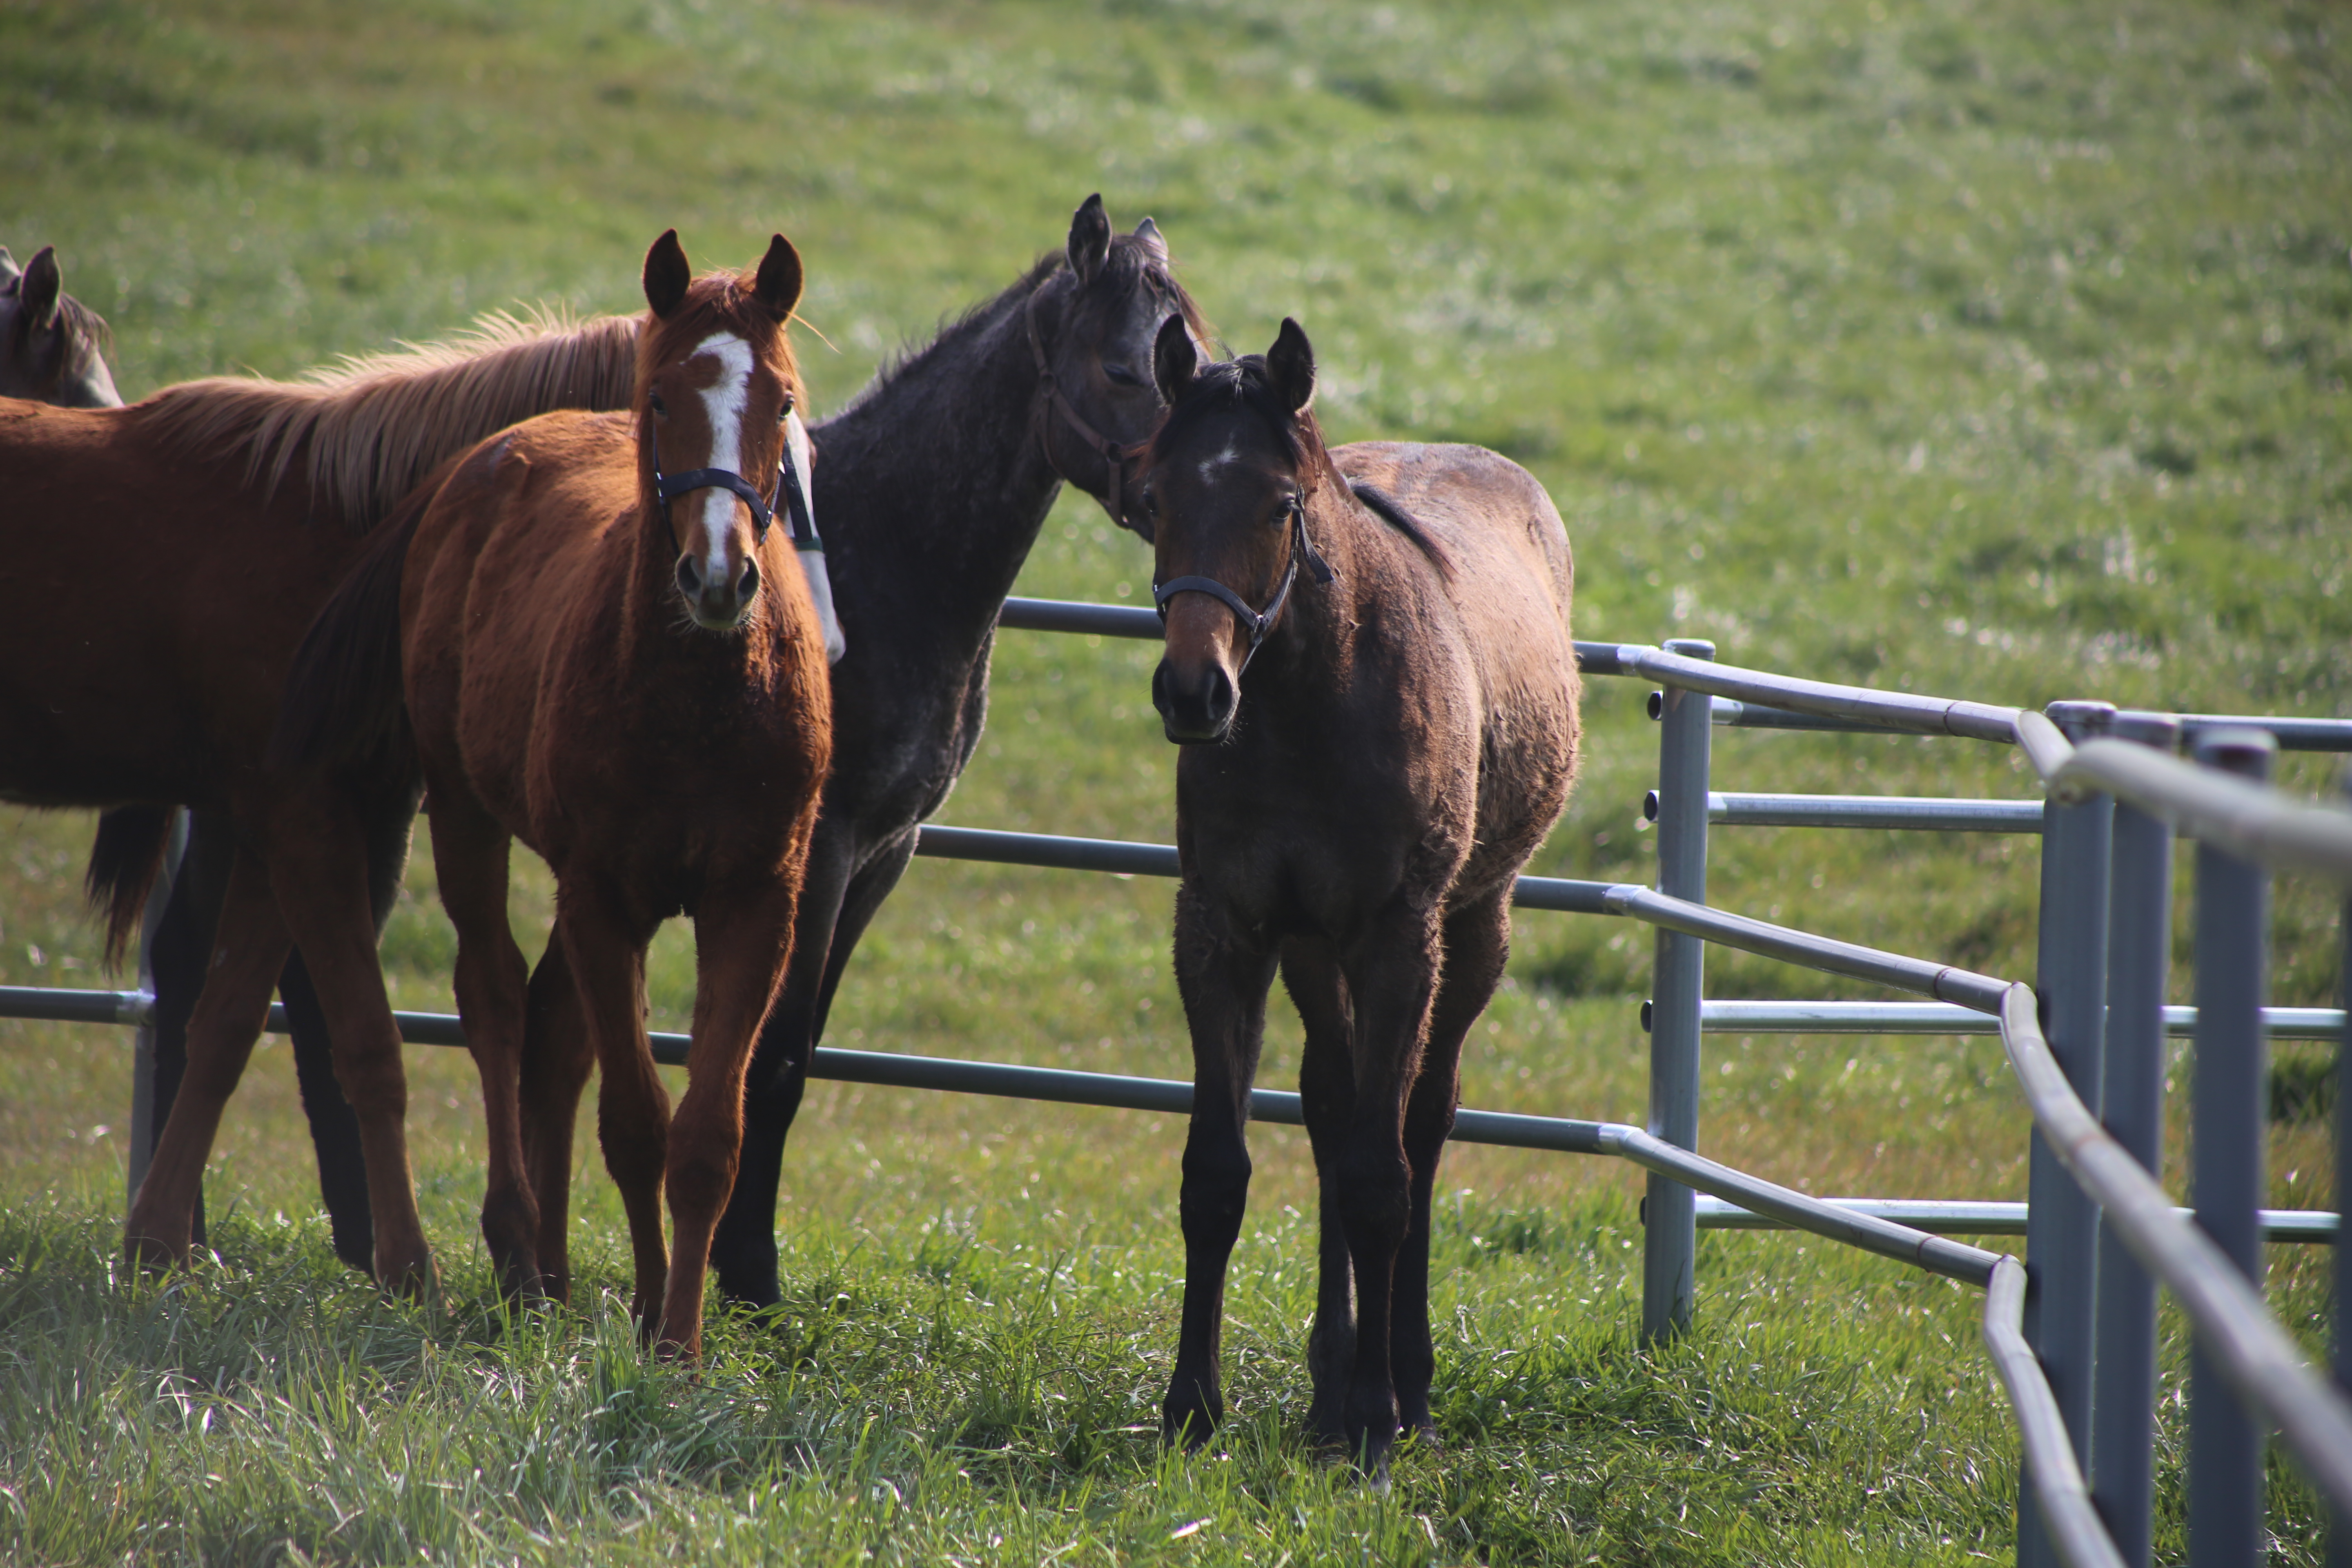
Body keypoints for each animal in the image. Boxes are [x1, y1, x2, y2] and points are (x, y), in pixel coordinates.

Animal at [281, 230, 833, 1354]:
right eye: (660, 396)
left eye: (783, 401)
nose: (720, 577)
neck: (704, 697)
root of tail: (480, 462)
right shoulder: (602, 897)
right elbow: (634, 1122)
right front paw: (648, 1317)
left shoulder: (757, 901)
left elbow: (704, 1139)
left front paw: (678, 1339)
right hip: (463, 811)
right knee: (494, 1000)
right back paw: (515, 1251)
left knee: (544, 1026)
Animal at [1138, 315, 1580, 1476]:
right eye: (1155, 497)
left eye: (1278, 504)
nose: (1193, 693)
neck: (1311, 702)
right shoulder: (1226, 931)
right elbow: (1219, 1173)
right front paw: (1191, 1407)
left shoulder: (1395, 941)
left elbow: (1385, 1179)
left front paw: (1383, 1421)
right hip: (1311, 949)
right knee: (1335, 1111)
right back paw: (1327, 1391)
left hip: (1472, 929)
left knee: (1419, 1123)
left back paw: (1399, 1388)